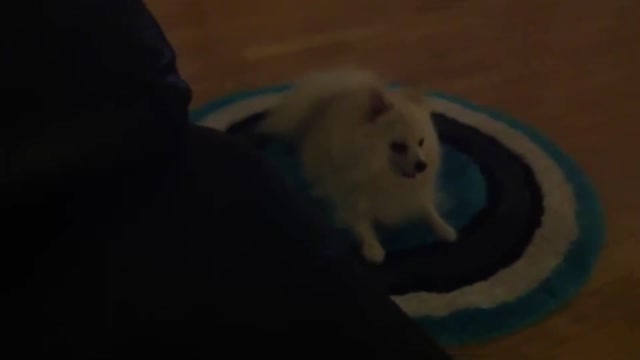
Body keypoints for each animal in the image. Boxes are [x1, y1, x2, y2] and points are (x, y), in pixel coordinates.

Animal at [258, 69, 456, 264]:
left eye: (421, 142)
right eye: (398, 146)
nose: (422, 165)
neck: (383, 174)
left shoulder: (415, 194)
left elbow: (428, 209)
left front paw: (444, 227)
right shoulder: (352, 196)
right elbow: (360, 220)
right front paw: (372, 247)